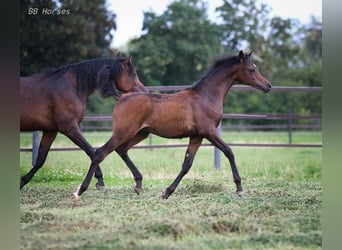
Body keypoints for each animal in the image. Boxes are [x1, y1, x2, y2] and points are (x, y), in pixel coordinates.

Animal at [20, 54, 148, 189]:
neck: (71, 87)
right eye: (134, 74)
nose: (145, 92)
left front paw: (23, 181)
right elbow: (90, 150)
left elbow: (40, 159)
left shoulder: (51, 130)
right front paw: (100, 180)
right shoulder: (69, 128)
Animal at [73, 50, 272, 199]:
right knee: (100, 153)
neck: (205, 96)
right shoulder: (209, 131)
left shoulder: (197, 136)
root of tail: (121, 97)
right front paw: (239, 188)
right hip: (123, 132)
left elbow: (187, 164)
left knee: (121, 150)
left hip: (140, 133)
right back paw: (81, 190)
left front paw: (167, 192)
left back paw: (138, 184)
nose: (268, 86)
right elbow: (229, 151)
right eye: (252, 69)